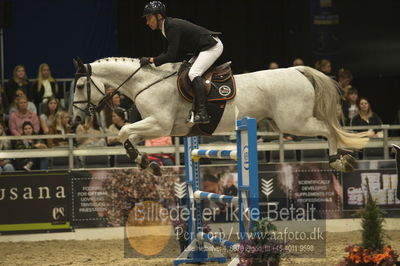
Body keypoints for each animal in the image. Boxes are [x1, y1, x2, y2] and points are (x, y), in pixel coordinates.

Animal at [71, 57, 368, 176]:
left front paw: (145, 163)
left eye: (80, 85)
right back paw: (345, 159)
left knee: (328, 129)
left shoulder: (159, 125)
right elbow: (127, 136)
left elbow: (124, 132)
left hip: (295, 122)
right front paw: (147, 163)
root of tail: (297, 70)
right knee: (329, 128)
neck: (146, 82)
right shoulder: (155, 127)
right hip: (289, 121)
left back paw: (339, 161)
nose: (75, 120)